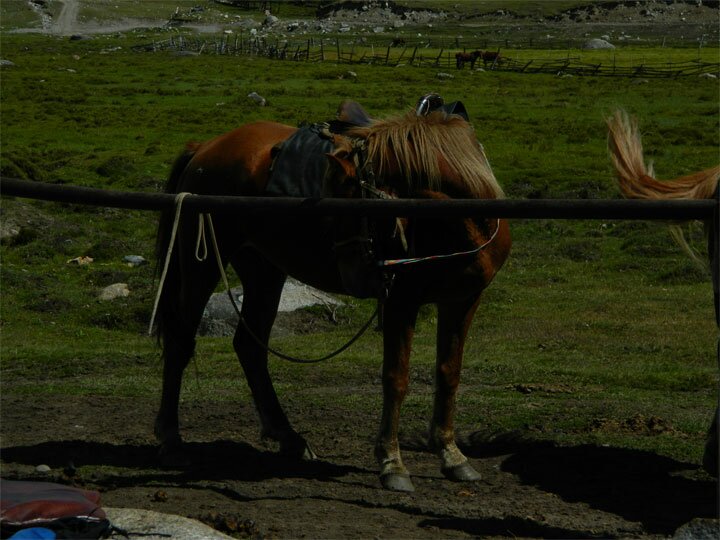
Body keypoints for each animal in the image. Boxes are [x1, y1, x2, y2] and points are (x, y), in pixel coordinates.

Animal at [153, 99, 512, 492]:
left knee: (250, 346)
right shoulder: (401, 301)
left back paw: (288, 437)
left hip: (263, 270)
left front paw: (452, 455)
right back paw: (171, 439)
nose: (357, 276)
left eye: (354, 210)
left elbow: (449, 373)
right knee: (181, 341)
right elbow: (396, 378)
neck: (460, 217)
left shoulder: (462, 301)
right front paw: (392, 462)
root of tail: (206, 147)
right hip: (201, 264)